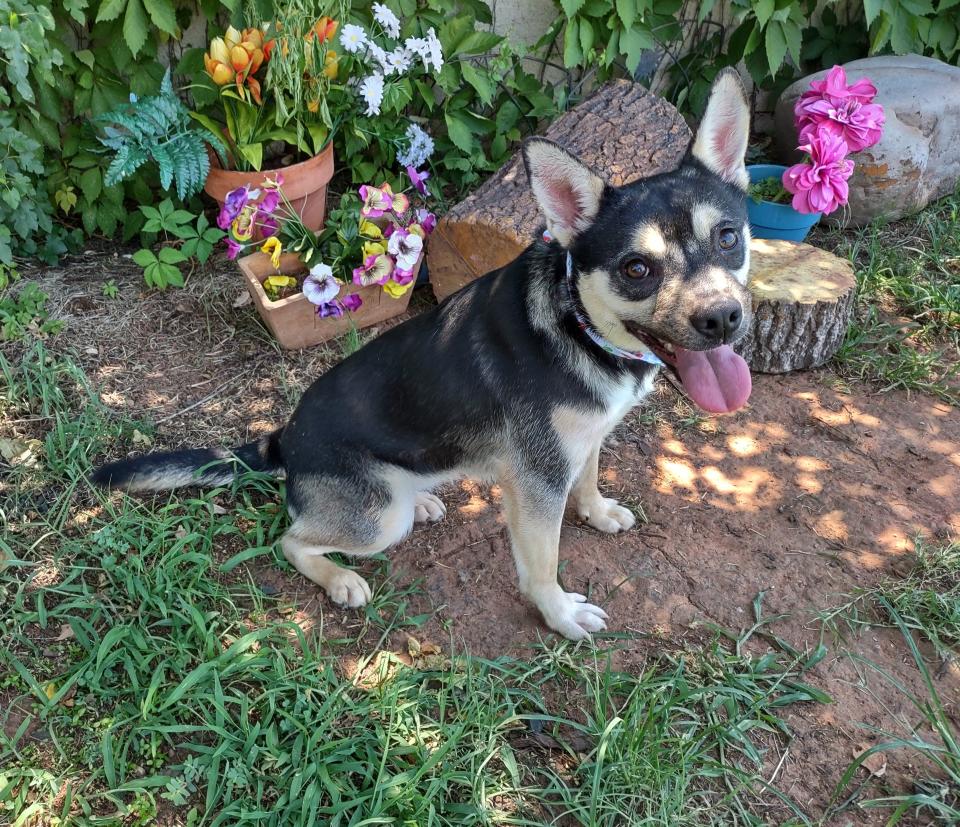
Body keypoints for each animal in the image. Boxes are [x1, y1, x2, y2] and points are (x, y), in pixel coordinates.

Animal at [97, 69, 756, 640]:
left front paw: (596, 511)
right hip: (377, 519)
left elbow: (589, 478)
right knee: (292, 539)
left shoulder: (583, 442)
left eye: (728, 237)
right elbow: (542, 564)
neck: (578, 323)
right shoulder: (536, 483)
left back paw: (427, 499)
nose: (724, 319)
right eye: (637, 269)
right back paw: (341, 579)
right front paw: (560, 613)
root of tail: (283, 438)